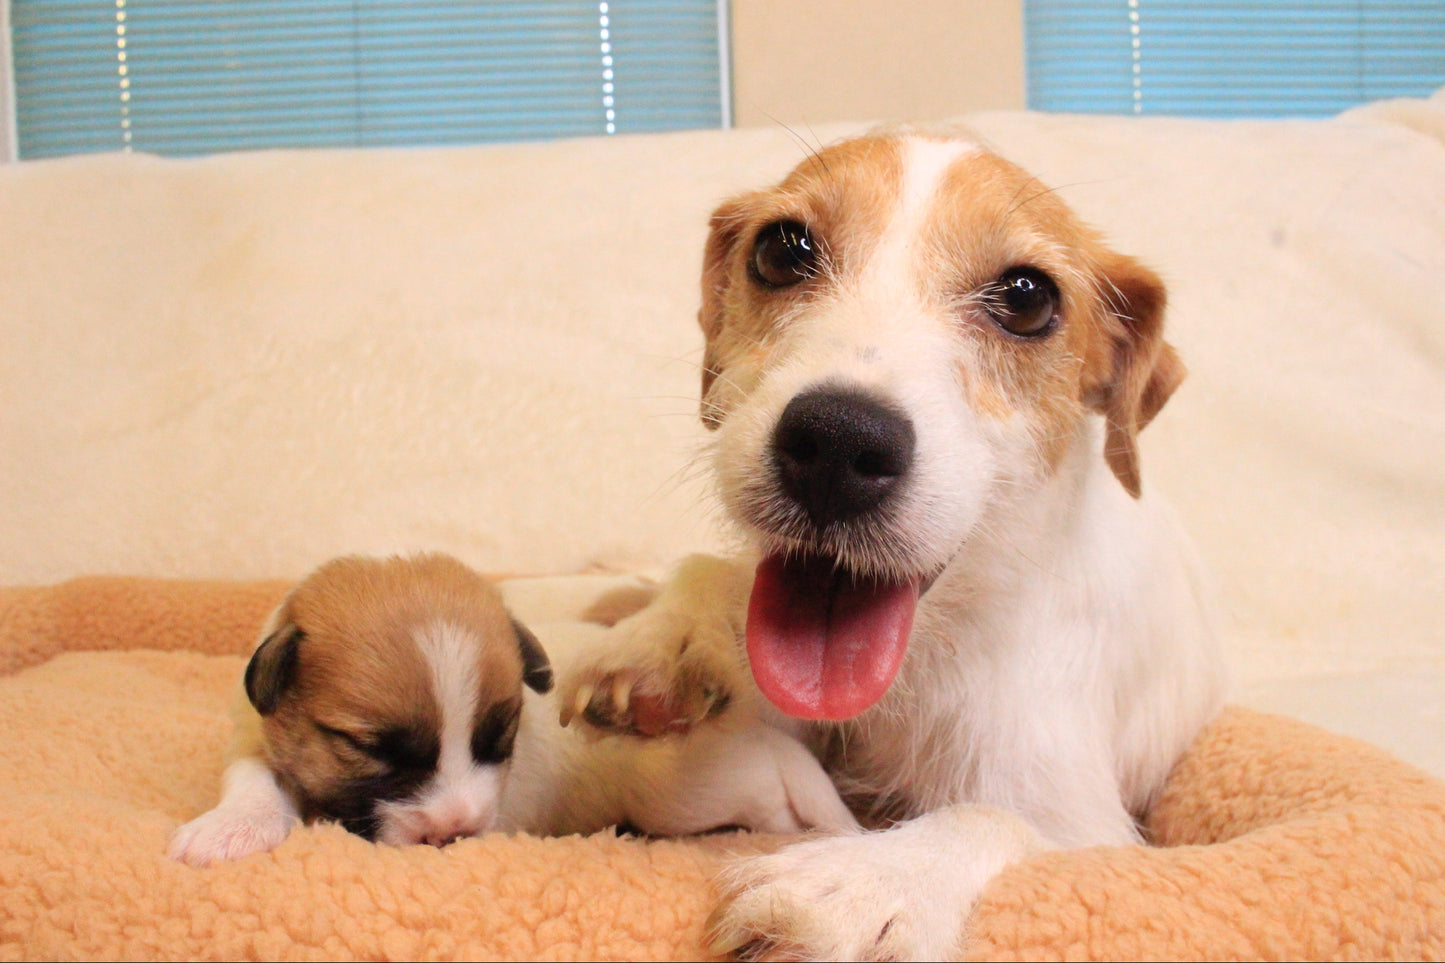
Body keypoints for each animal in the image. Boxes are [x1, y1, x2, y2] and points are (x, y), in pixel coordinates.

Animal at [169, 546, 849, 861]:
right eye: (371, 749)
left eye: (499, 739)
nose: (454, 831)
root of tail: (766, 738)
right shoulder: (254, 738)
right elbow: (252, 779)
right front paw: (229, 828)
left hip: (686, 798)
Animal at [563, 129, 1231, 960]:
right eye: (782, 250)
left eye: (1027, 297)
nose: (835, 443)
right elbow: (702, 570)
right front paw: (667, 638)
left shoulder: (1086, 824)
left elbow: (988, 816)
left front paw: (859, 885)